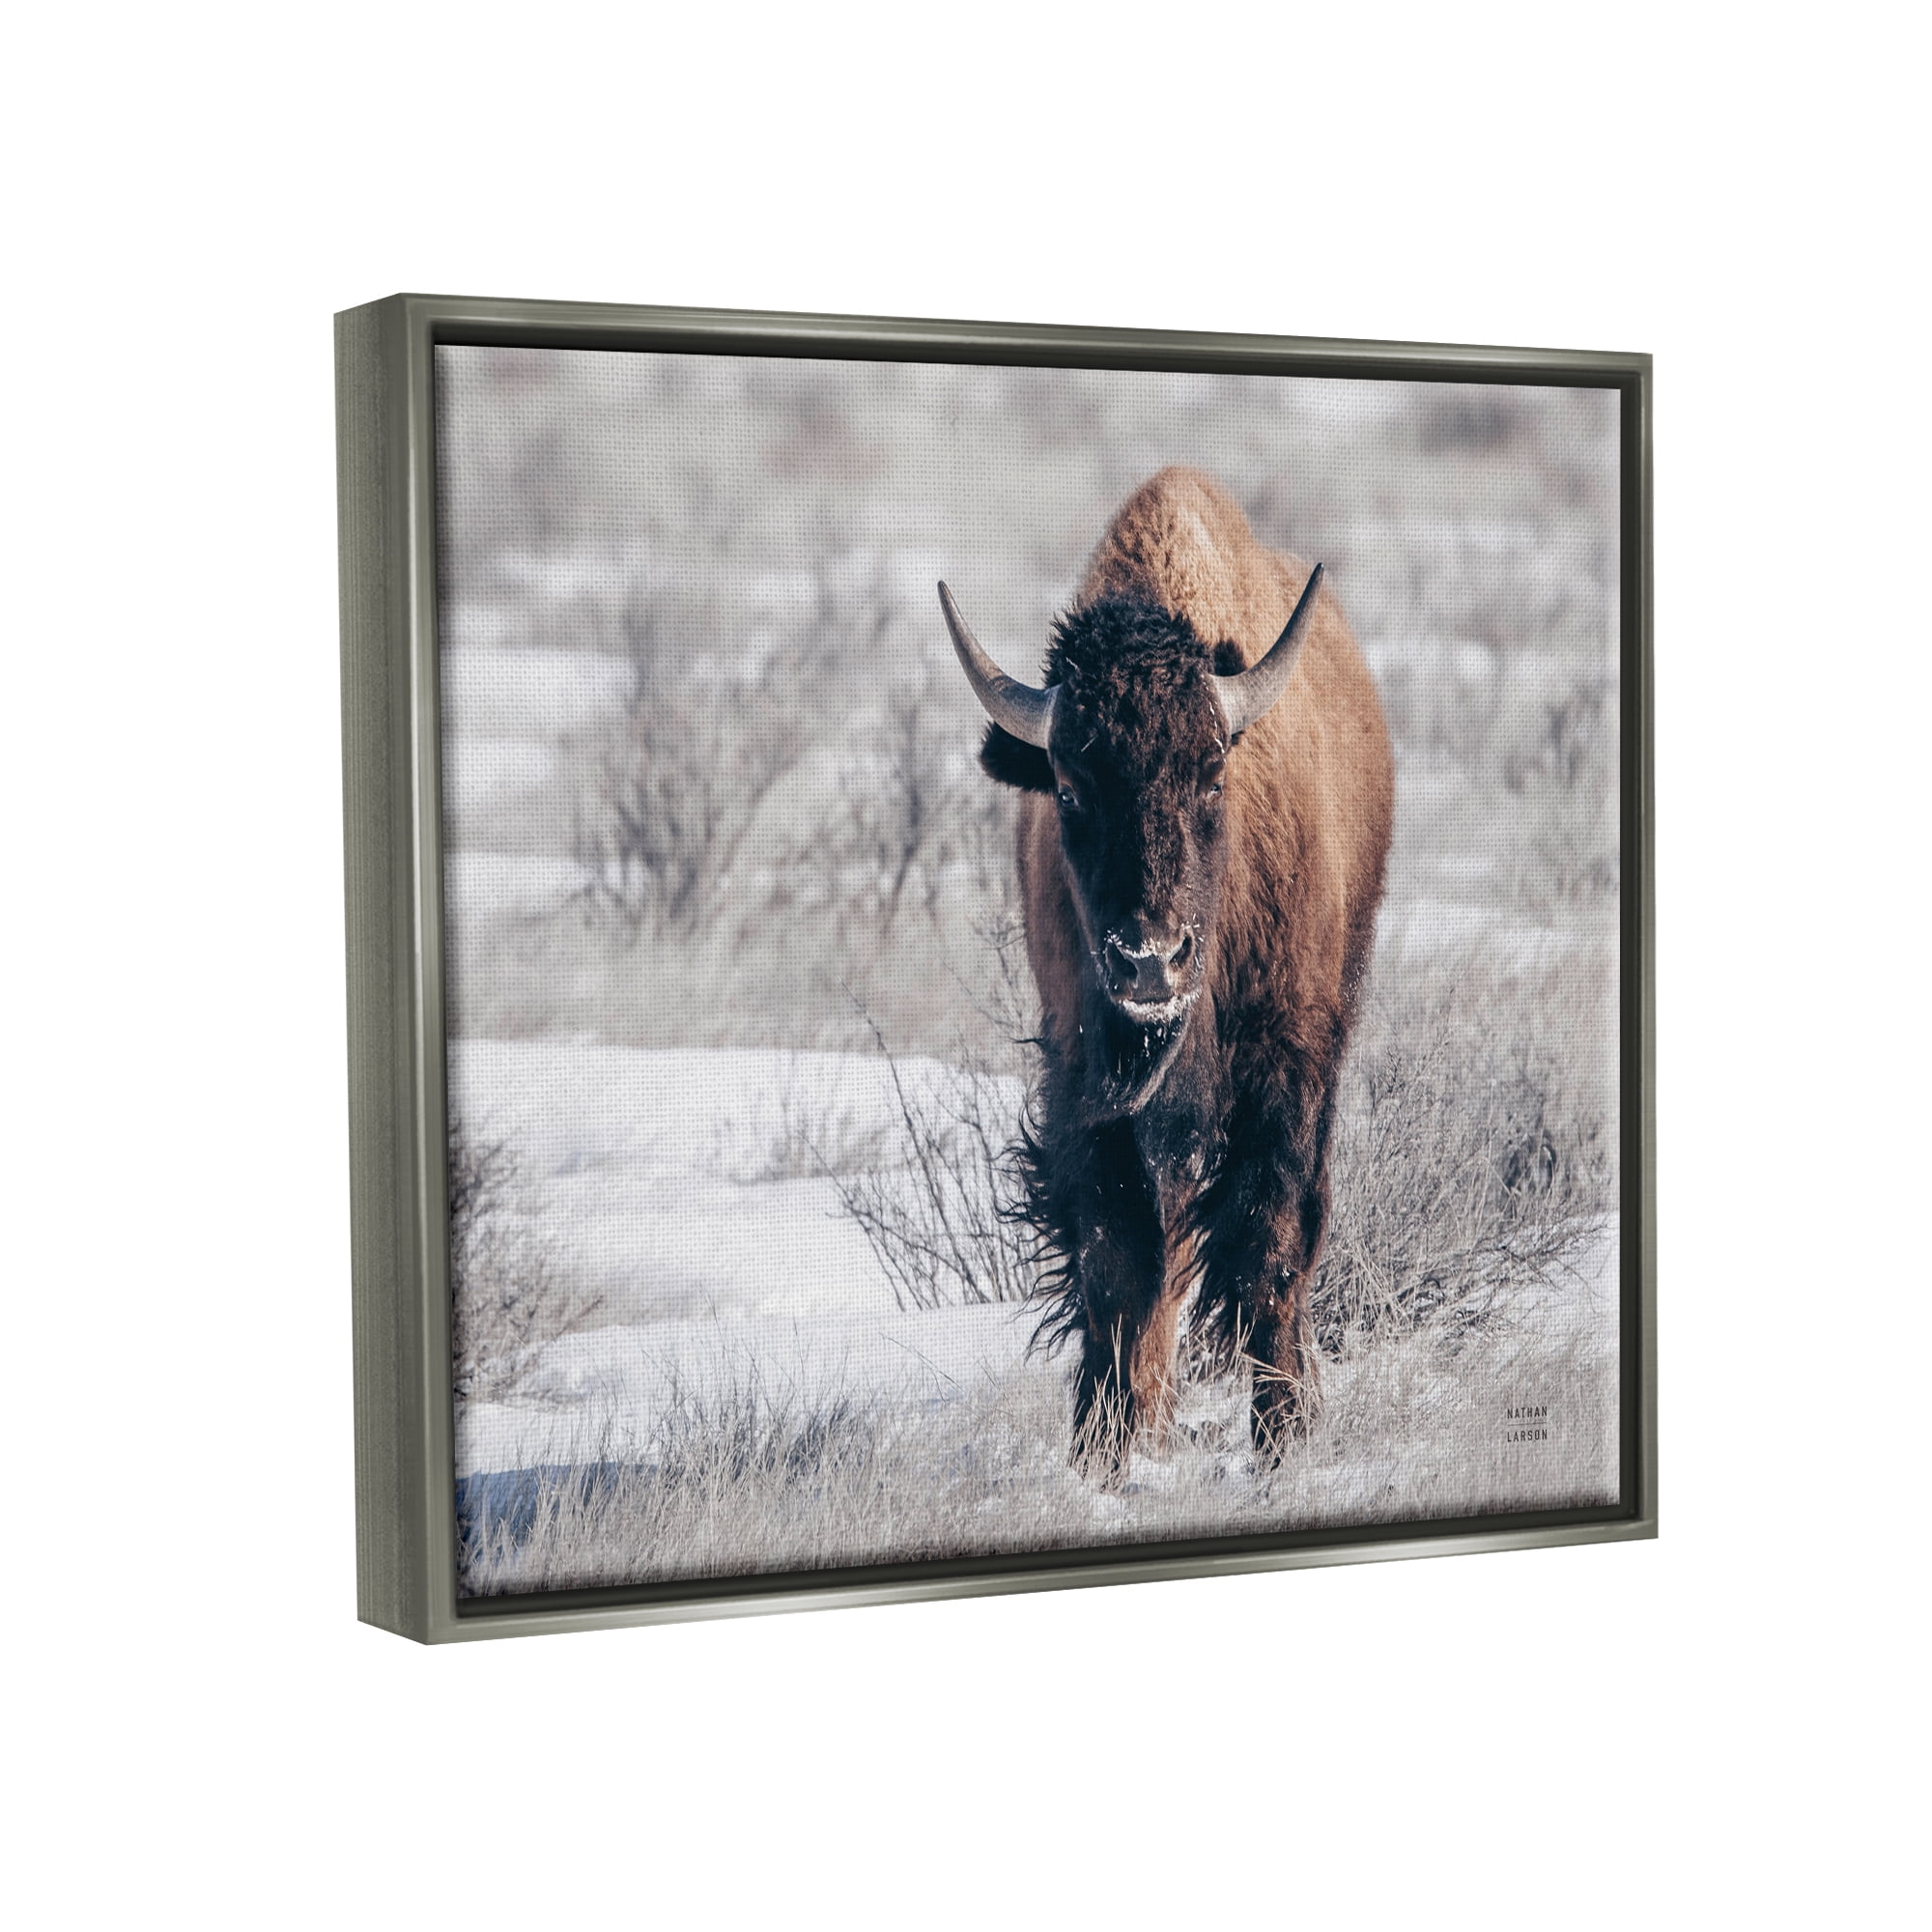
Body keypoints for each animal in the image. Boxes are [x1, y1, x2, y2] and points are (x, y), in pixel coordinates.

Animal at [941, 467, 1394, 1466]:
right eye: (1070, 790)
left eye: (1212, 776)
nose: (1150, 964)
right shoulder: (1085, 1076)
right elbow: (1119, 1260)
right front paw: (1104, 1449)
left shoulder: (1286, 1066)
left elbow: (1268, 1242)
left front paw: (1283, 1437)